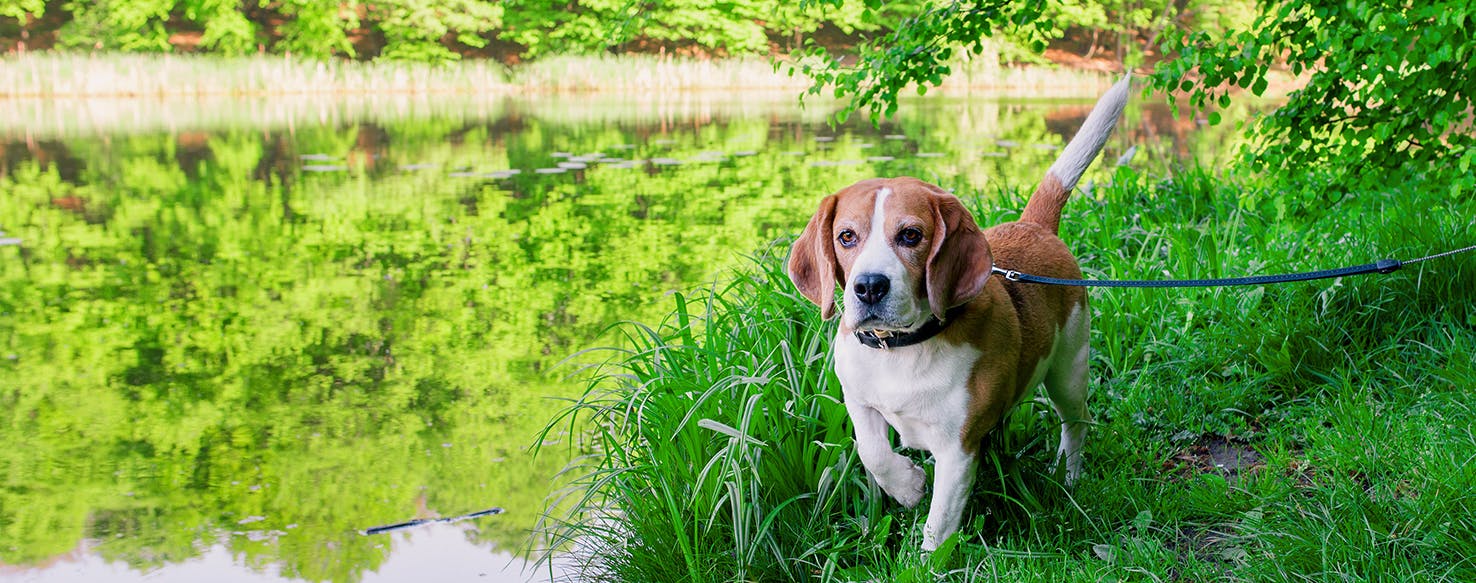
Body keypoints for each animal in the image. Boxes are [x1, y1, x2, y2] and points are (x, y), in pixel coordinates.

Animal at [797, 75, 1127, 549]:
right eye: (846, 236)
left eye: (911, 235)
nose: (869, 287)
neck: (902, 349)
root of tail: (1034, 226)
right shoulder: (859, 398)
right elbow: (872, 451)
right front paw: (908, 486)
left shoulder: (957, 448)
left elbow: (938, 525)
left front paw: (924, 559)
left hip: (1069, 370)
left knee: (1076, 424)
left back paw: (1068, 475)